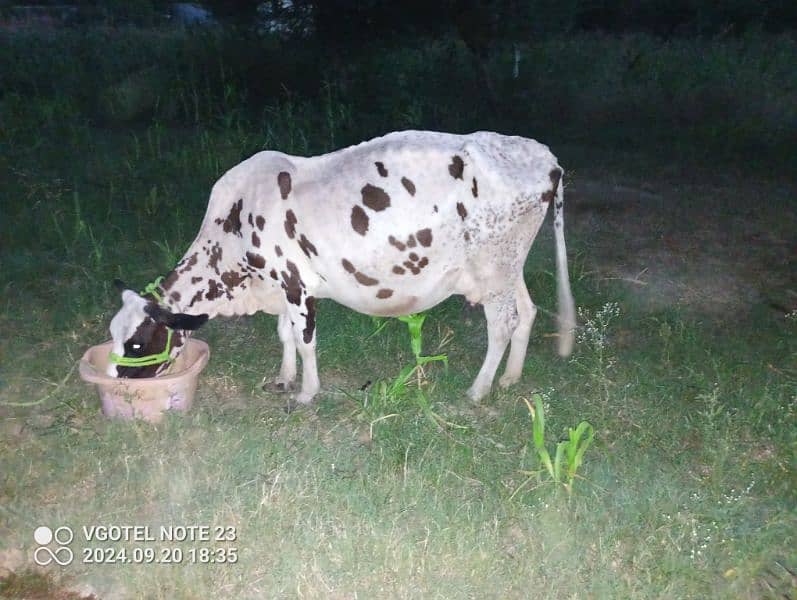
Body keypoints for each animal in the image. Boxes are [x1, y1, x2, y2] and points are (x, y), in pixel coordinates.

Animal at [109, 129, 576, 406]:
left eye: (137, 343)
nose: (117, 377)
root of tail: (544, 156)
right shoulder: (280, 287)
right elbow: (285, 336)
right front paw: (284, 378)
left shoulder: (295, 284)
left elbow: (305, 341)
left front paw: (306, 393)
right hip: (506, 266)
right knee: (527, 311)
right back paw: (510, 378)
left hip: (494, 267)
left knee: (502, 324)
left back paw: (478, 390)